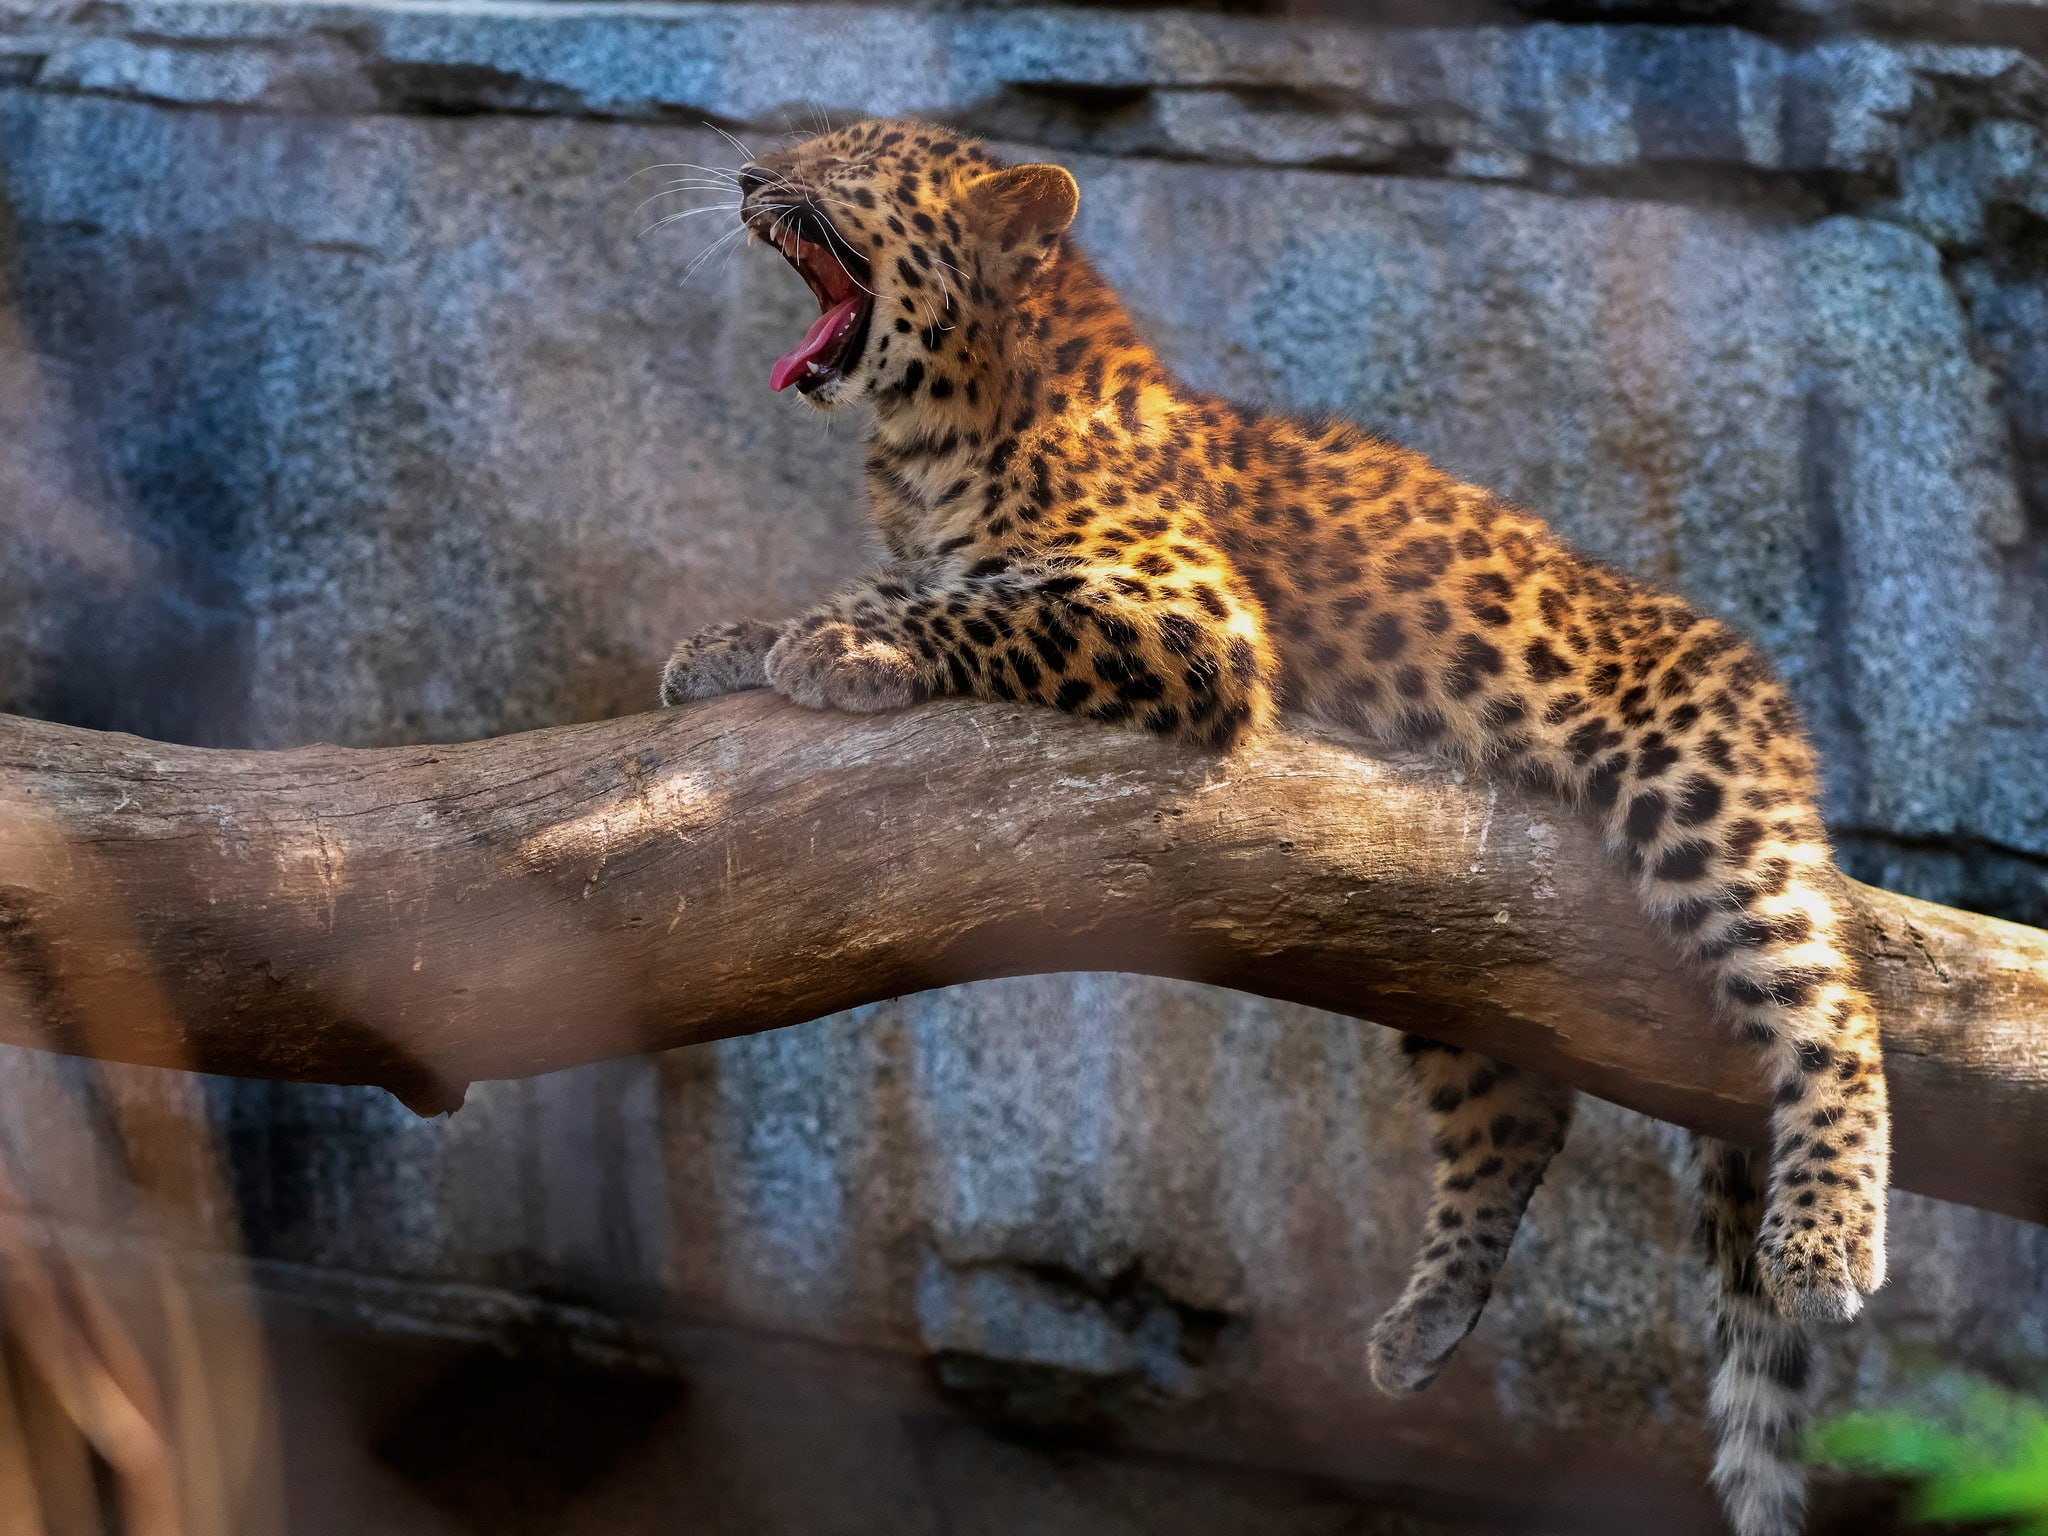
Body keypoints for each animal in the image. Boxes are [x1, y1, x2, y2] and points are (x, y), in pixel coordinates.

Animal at [657, 119, 1890, 1536]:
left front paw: (837, 647)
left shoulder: (1191, 621)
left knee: (1829, 1007)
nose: (750, 176)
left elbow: (978, 607)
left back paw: (1823, 1239)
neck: (930, 436)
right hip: (1451, 952)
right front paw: (729, 643)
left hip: (1700, 800)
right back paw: (1421, 1325)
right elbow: (900, 585)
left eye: (848, 157)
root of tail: (1756, 680)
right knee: (1517, 1110)